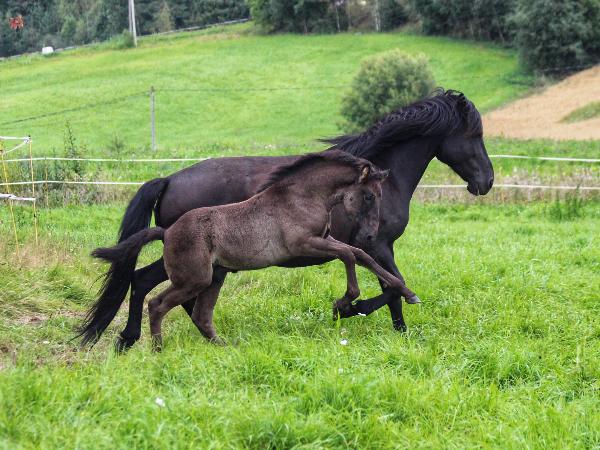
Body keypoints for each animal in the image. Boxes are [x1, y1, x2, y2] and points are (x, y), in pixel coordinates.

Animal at [86, 151, 418, 348]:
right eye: (368, 197)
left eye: (379, 196)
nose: (370, 233)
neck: (302, 196)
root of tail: (167, 232)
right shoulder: (305, 244)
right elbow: (350, 256)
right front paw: (344, 303)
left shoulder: (326, 240)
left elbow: (361, 256)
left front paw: (408, 293)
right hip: (195, 278)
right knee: (157, 303)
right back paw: (158, 350)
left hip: (213, 278)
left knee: (200, 314)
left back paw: (221, 347)